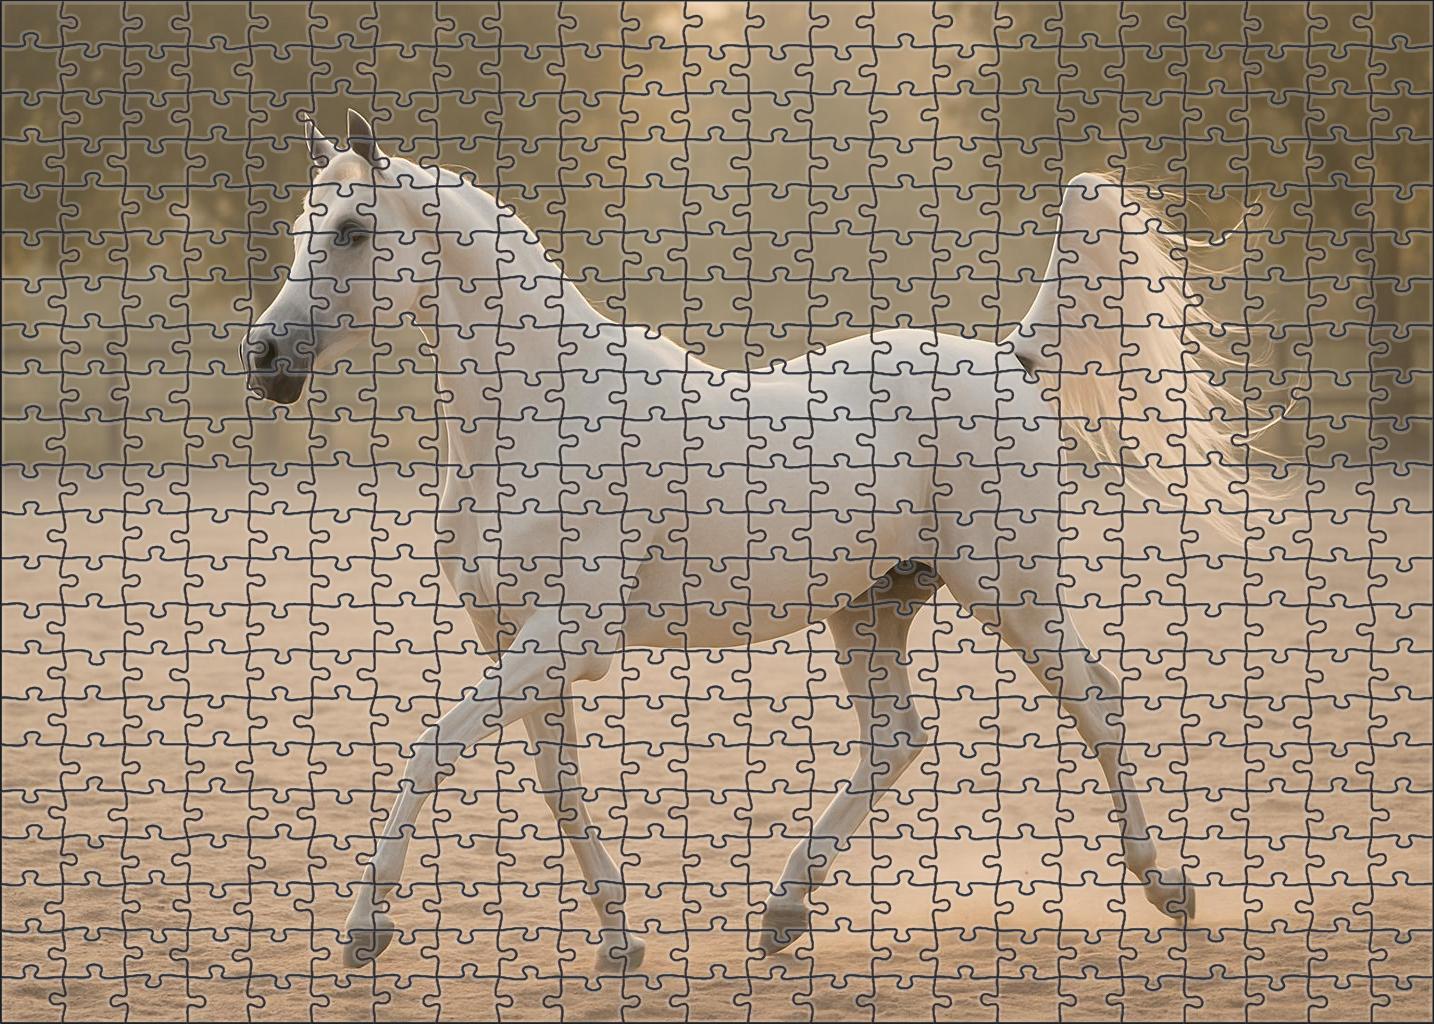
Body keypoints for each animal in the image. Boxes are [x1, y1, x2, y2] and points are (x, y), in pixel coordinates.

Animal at [245, 110, 1252, 972]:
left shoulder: (566, 635)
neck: (543, 411)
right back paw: (783, 911)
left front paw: (365, 931)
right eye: (302, 227)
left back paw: (1168, 890)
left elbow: (431, 748)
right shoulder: (510, 638)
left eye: (353, 230)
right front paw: (620, 942)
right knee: (895, 741)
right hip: (871, 608)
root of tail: (1009, 361)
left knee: (1098, 700)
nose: (264, 360)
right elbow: (557, 785)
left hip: (1013, 594)